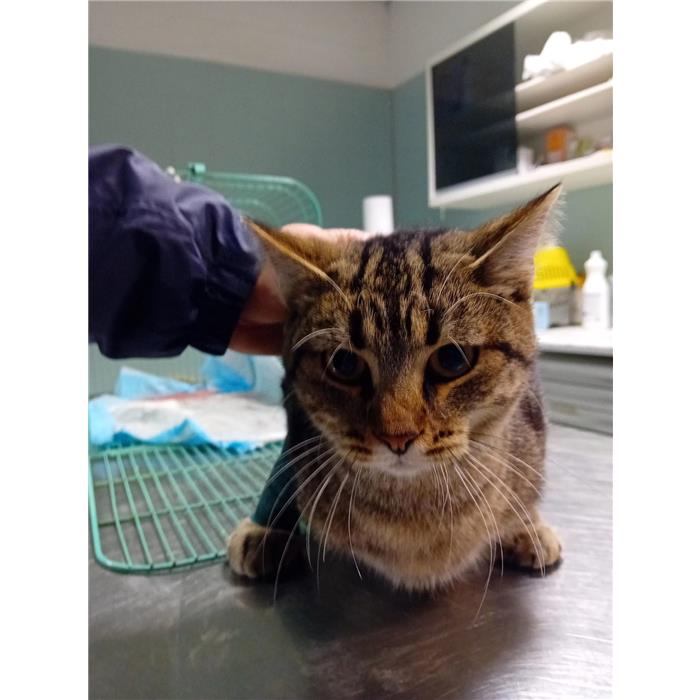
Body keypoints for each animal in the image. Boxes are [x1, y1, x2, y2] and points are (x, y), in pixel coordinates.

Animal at [228, 185, 563, 591]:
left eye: (452, 359)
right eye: (344, 364)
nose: (397, 437)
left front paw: (525, 524)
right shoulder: (296, 429)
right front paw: (270, 529)